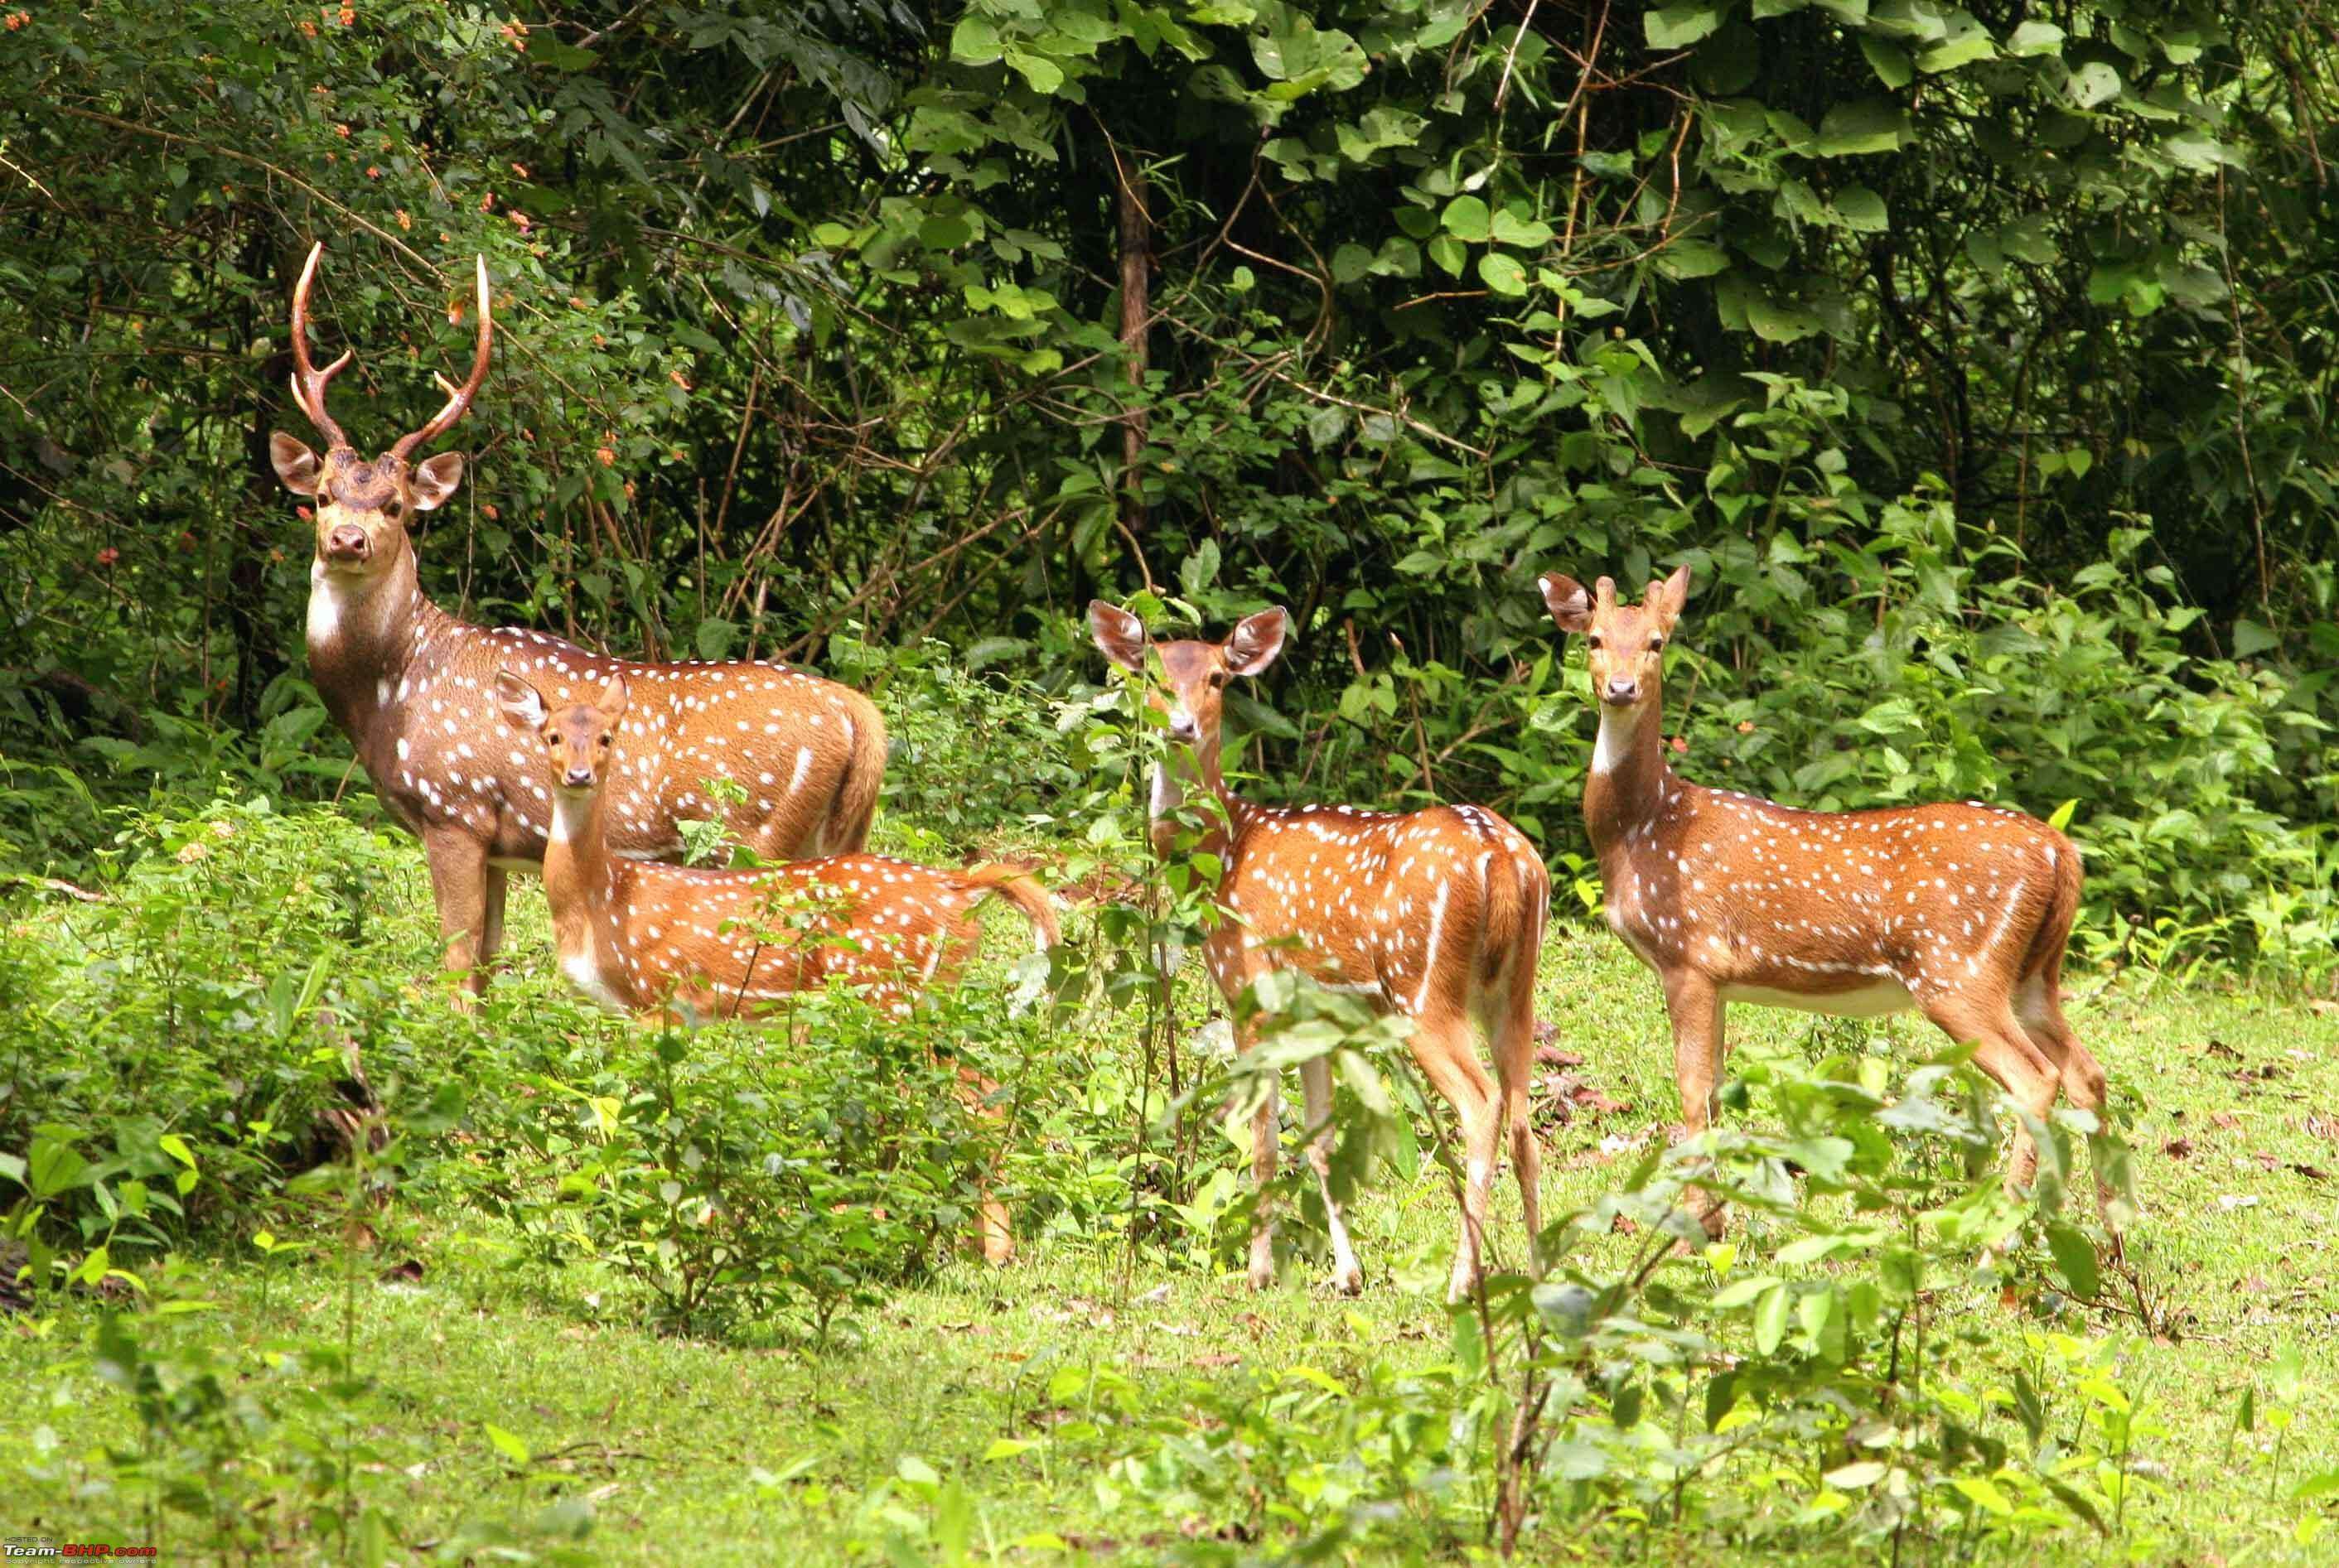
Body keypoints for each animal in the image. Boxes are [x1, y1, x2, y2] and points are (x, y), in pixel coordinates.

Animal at [268, 245, 884, 1005]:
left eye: (395, 507)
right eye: (324, 494)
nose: (347, 540)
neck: (390, 693)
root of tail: (858, 715)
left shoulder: (454, 808)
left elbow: (455, 964)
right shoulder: (498, 845)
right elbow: (486, 965)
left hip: (755, 831)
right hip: (837, 835)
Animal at [502, 673, 1061, 1262]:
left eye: (607, 737)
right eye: (553, 735)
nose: (579, 775)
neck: (602, 900)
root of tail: (957, 887)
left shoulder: (660, 996)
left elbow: (654, 1110)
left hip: (889, 996)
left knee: (966, 1097)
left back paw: (982, 1245)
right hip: (924, 998)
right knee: (980, 1089)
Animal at [1090, 602, 1553, 1299]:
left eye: (1219, 677)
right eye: (1150, 671)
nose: (1180, 725)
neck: (1221, 854)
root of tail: (1503, 857)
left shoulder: (1248, 988)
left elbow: (1261, 1137)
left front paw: (1257, 1270)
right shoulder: (1316, 1018)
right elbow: (1318, 1139)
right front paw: (1346, 1273)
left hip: (1420, 986)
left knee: (1483, 1105)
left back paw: (1461, 1280)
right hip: (1514, 989)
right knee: (1524, 1115)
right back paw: (1541, 1269)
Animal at [1534, 567, 2124, 1242]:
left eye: (1657, 642)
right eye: (1595, 640)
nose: (1621, 687)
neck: (1643, 827)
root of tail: (2061, 852)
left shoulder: (1689, 955)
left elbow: (1691, 1087)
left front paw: (1694, 1227)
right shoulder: (1717, 977)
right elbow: (1714, 1088)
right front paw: (1717, 1221)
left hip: (1958, 969)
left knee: (2036, 1079)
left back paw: (1995, 1240)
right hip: (2032, 973)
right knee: (2087, 1073)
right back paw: (2111, 1238)